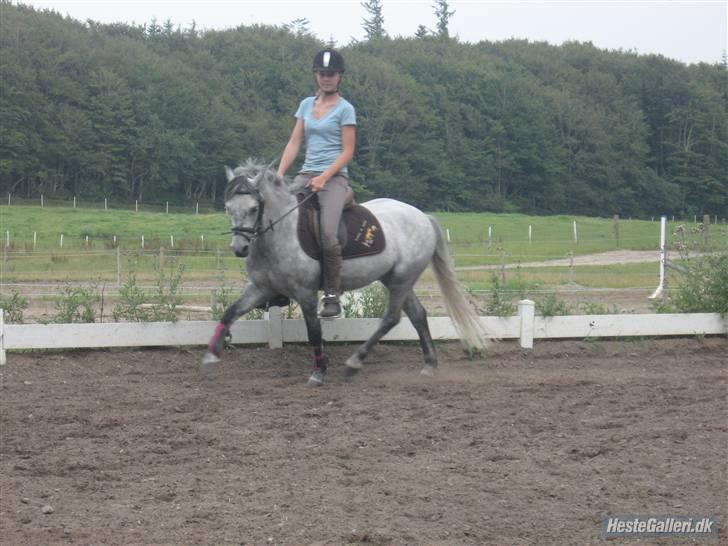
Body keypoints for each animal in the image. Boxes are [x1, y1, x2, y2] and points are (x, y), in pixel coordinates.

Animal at [203, 159, 490, 384]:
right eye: (228, 208)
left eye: (254, 208)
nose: (239, 248)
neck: (278, 235)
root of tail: (422, 216)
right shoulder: (260, 288)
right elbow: (230, 313)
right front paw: (211, 354)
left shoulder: (305, 293)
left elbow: (314, 331)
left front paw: (319, 372)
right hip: (395, 278)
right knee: (417, 315)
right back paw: (429, 364)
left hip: (402, 278)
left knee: (391, 318)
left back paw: (354, 362)